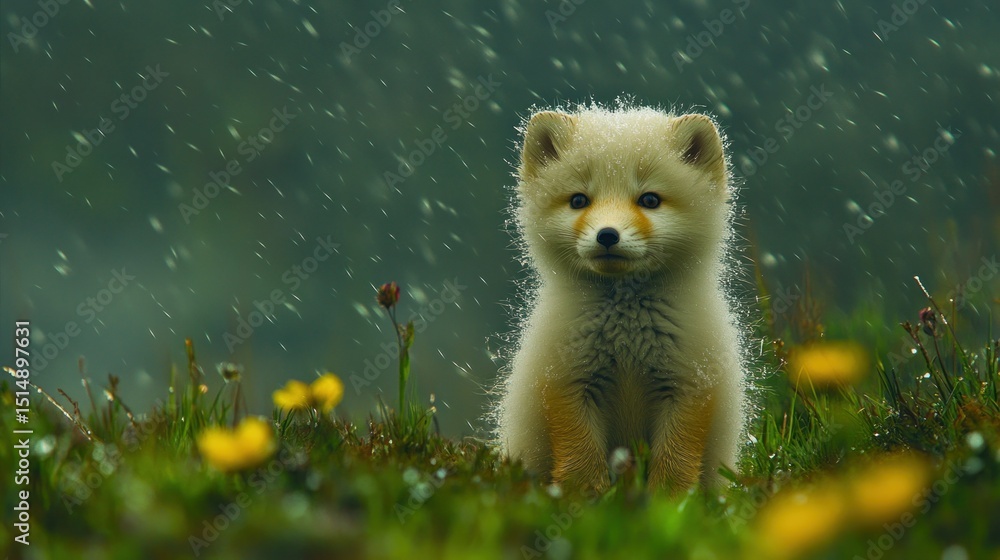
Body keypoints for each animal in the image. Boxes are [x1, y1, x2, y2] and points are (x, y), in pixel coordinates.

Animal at [494, 105, 748, 493]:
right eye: (579, 200)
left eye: (650, 200)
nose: (607, 235)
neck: (628, 339)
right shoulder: (566, 384)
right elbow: (581, 465)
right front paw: (587, 503)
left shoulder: (690, 385)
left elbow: (674, 466)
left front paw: (668, 504)